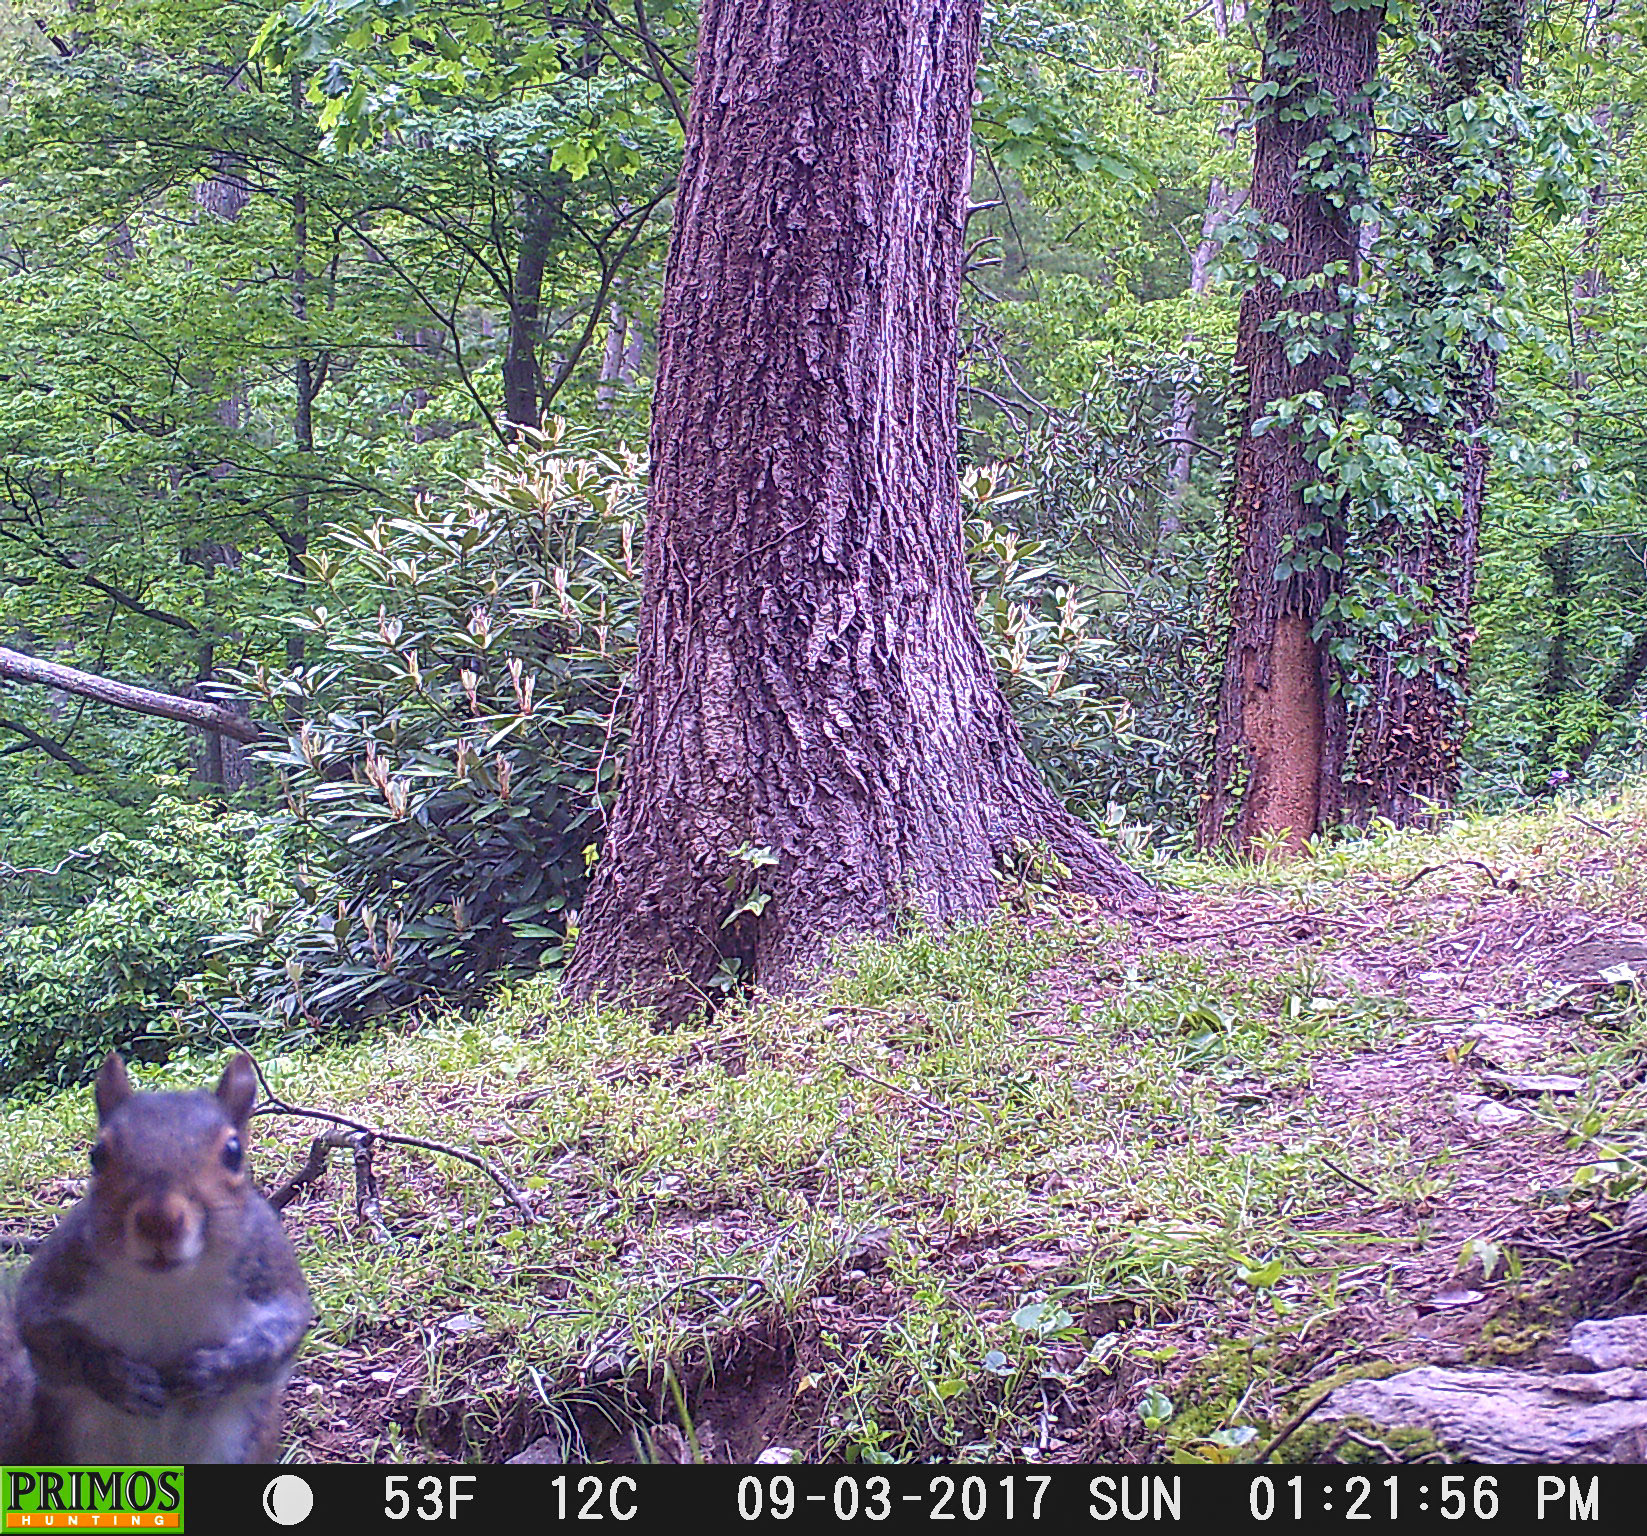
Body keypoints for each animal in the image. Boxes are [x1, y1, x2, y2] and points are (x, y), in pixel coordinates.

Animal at [0, 1051, 313, 1463]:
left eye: (233, 1153)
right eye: (98, 1155)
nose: (159, 1221)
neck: (167, 1286)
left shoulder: (270, 1271)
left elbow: (281, 1333)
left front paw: (208, 1373)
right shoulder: (60, 1274)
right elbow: (46, 1332)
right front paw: (120, 1378)